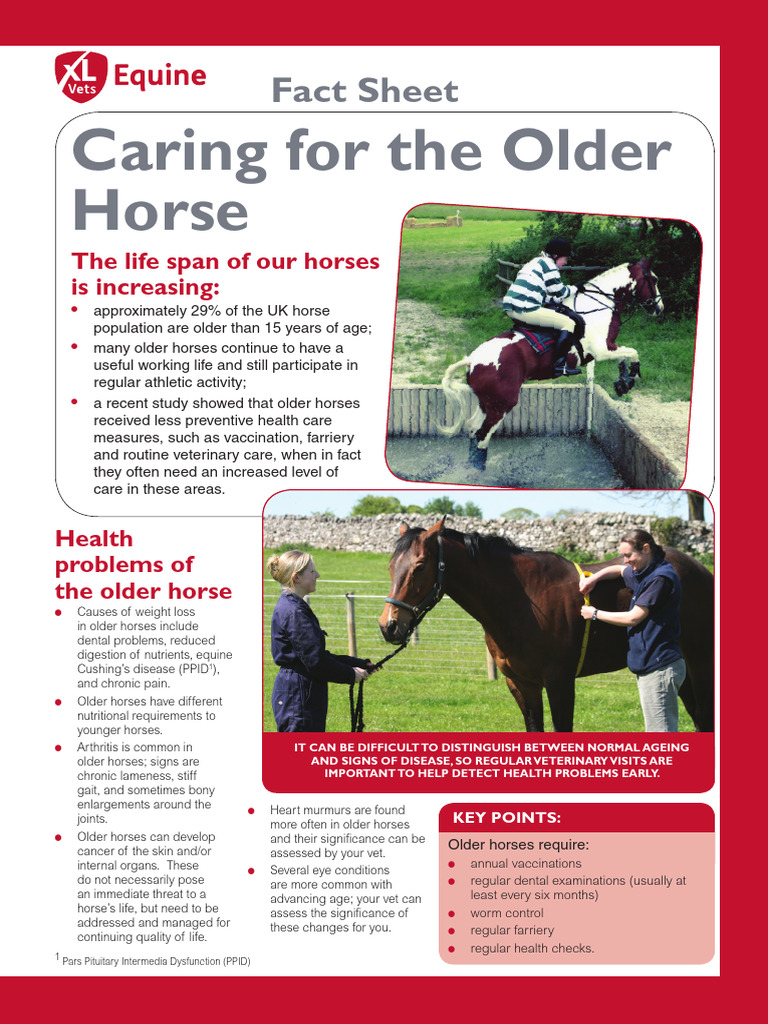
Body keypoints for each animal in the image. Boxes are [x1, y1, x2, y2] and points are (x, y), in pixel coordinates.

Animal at [378, 520, 713, 733]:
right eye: (391, 566)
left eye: (420, 566)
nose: (389, 626)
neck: (522, 600)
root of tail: (701, 570)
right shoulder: (521, 684)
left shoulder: (559, 682)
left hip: (699, 664)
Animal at [437, 259, 664, 469]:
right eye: (653, 280)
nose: (659, 308)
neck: (597, 305)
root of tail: (472, 360)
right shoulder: (601, 350)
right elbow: (632, 352)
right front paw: (630, 378)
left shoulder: (606, 349)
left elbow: (623, 357)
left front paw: (623, 383)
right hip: (501, 404)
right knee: (482, 435)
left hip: (487, 402)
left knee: (473, 428)